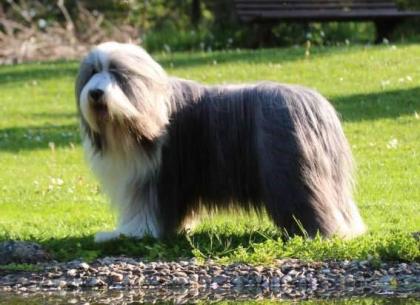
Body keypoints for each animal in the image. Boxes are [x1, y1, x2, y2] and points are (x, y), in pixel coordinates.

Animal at [75, 41, 364, 241]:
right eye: (92, 72)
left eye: (117, 73)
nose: (96, 93)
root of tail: (316, 103)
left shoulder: (152, 177)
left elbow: (144, 209)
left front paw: (131, 233)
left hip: (290, 173)